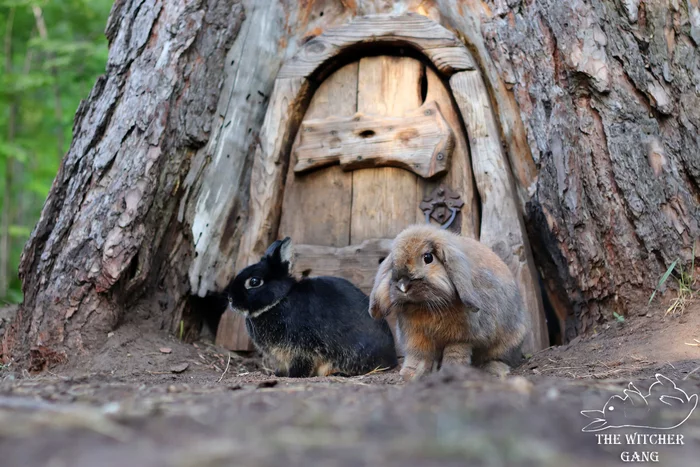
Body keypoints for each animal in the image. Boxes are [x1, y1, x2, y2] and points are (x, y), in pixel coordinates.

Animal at [226, 236, 396, 378]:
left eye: (254, 282)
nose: (230, 299)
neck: (280, 299)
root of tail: (391, 358)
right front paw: (278, 374)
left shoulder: (302, 349)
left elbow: (302, 364)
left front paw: (294, 376)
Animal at [370, 225, 528, 382]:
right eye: (393, 264)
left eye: (428, 257)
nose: (403, 286)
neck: (426, 306)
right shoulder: (416, 337)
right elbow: (418, 355)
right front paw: (410, 374)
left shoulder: (461, 339)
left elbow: (455, 354)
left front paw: (451, 372)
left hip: (507, 343)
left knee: (499, 358)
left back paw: (493, 369)